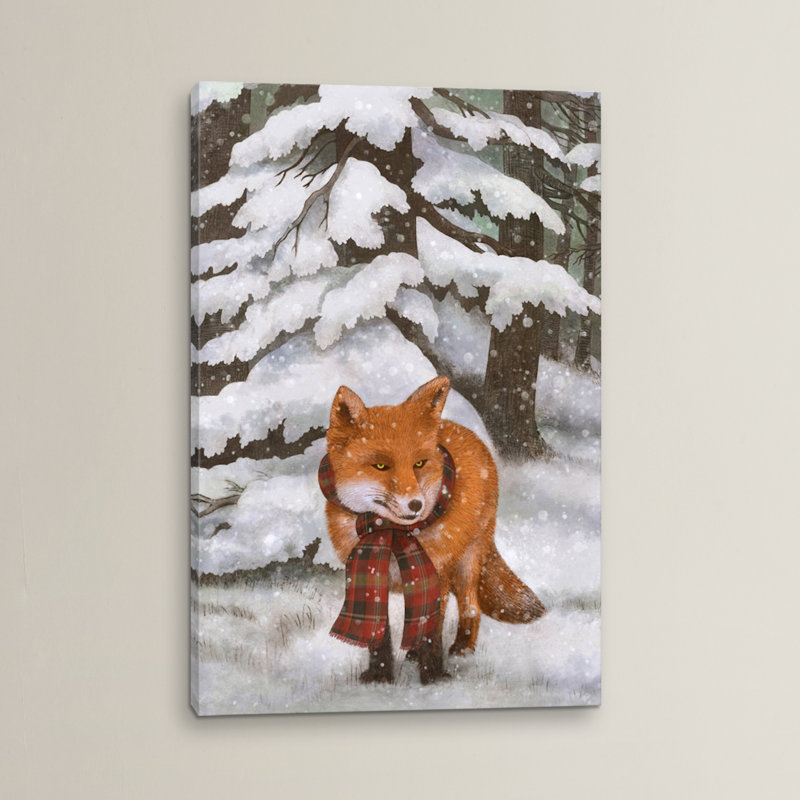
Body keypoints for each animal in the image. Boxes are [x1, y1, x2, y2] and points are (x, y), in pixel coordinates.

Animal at [324, 375, 546, 684]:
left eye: (419, 463)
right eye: (380, 466)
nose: (416, 505)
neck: (391, 533)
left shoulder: (434, 572)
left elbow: (431, 630)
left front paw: (433, 677)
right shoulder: (370, 573)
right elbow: (379, 632)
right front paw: (380, 677)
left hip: (466, 563)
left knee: (470, 607)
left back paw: (462, 647)